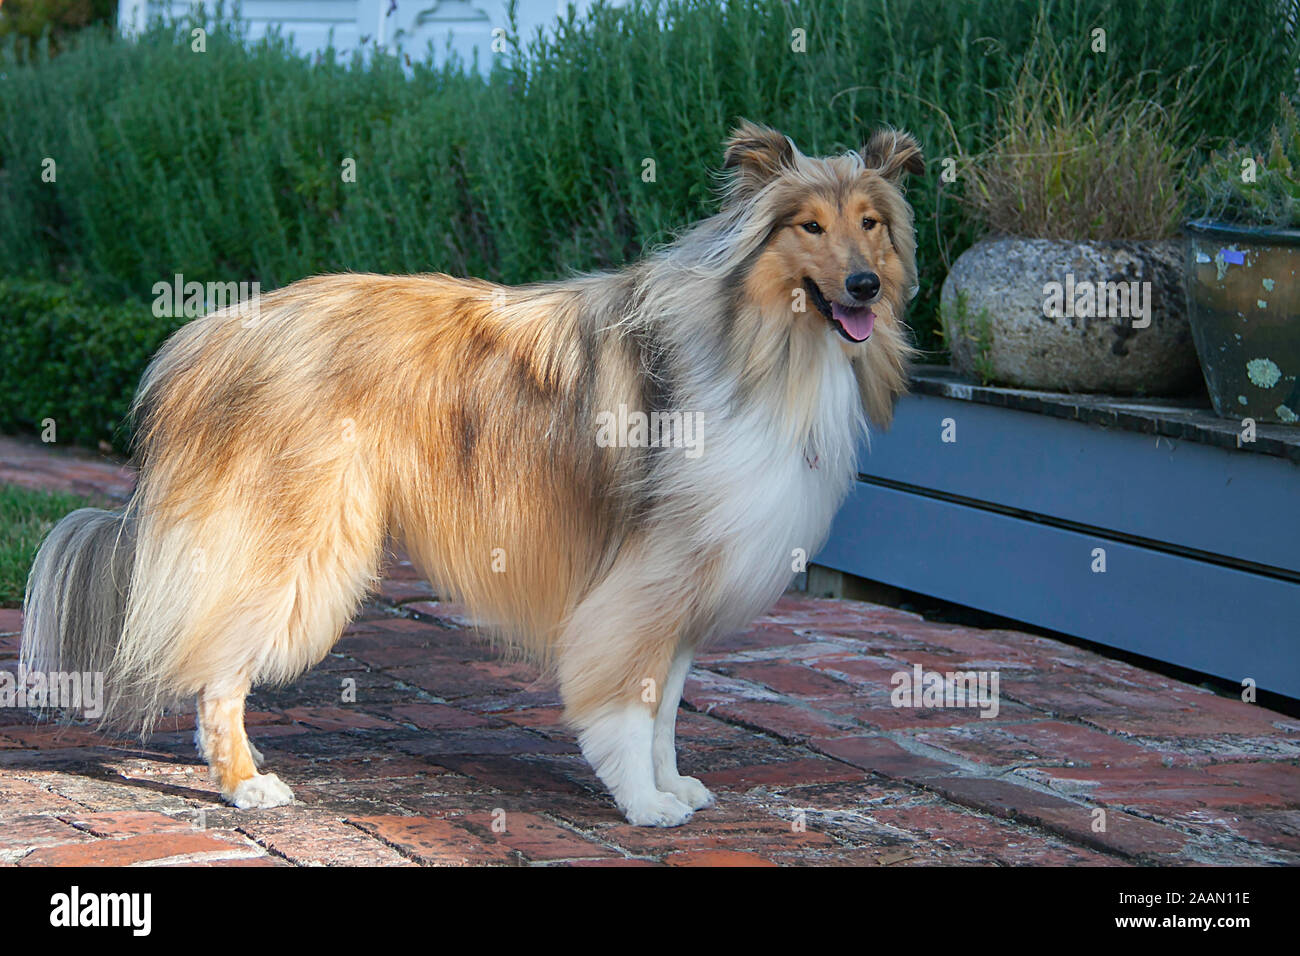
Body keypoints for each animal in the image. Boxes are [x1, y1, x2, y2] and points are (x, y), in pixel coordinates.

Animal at [20, 123, 925, 827]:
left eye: (871, 223)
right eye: (808, 226)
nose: (864, 286)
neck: (762, 344)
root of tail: (204, 339)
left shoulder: (683, 588)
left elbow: (666, 706)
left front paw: (674, 788)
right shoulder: (646, 582)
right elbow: (629, 705)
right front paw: (644, 804)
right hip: (290, 546)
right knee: (217, 674)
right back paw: (246, 787)